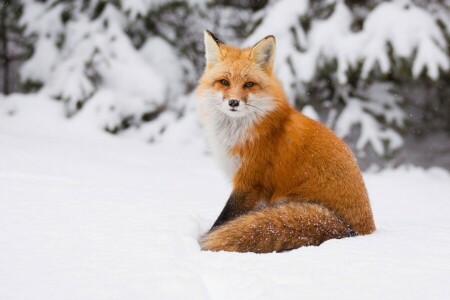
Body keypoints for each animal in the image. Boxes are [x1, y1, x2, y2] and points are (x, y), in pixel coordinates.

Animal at [197, 30, 376, 252]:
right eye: (224, 82)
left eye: (249, 84)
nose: (233, 102)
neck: (240, 131)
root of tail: (357, 232)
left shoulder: (250, 181)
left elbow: (224, 219)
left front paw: (204, 240)